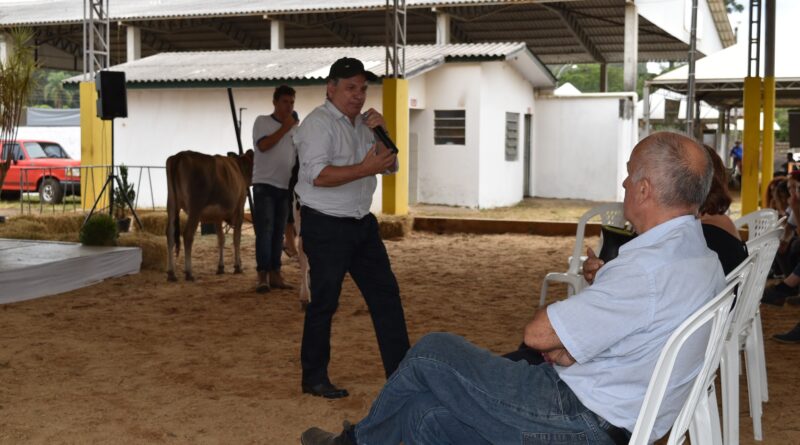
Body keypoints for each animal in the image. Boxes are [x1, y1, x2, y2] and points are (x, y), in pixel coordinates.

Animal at [167, 149, 255, 280]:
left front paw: (221, 267)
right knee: (187, 234)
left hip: (172, 204)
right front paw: (238, 266)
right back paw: (189, 273)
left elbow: (221, 239)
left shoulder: (217, 216)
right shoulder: (239, 208)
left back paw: (171, 274)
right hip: (195, 207)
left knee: (170, 234)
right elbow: (236, 239)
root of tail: (180, 154)